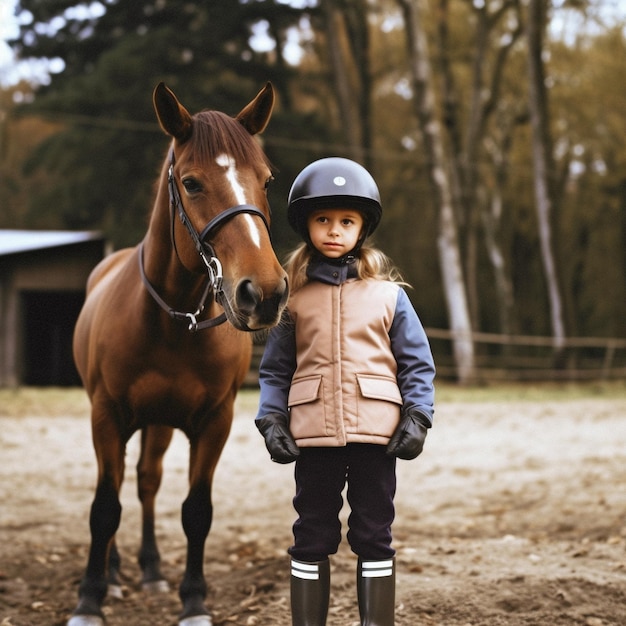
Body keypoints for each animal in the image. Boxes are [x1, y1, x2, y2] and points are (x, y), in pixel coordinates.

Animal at [68, 83, 288, 624]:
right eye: (191, 183)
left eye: (266, 180)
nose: (264, 293)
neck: (172, 323)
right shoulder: (106, 416)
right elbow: (104, 507)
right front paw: (90, 597)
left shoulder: (214, 422)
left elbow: (196, 511)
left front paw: (193, 600)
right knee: (119, 483)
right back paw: (116, 573)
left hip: (160, 424)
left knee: (146, 481)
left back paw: (149, 570)